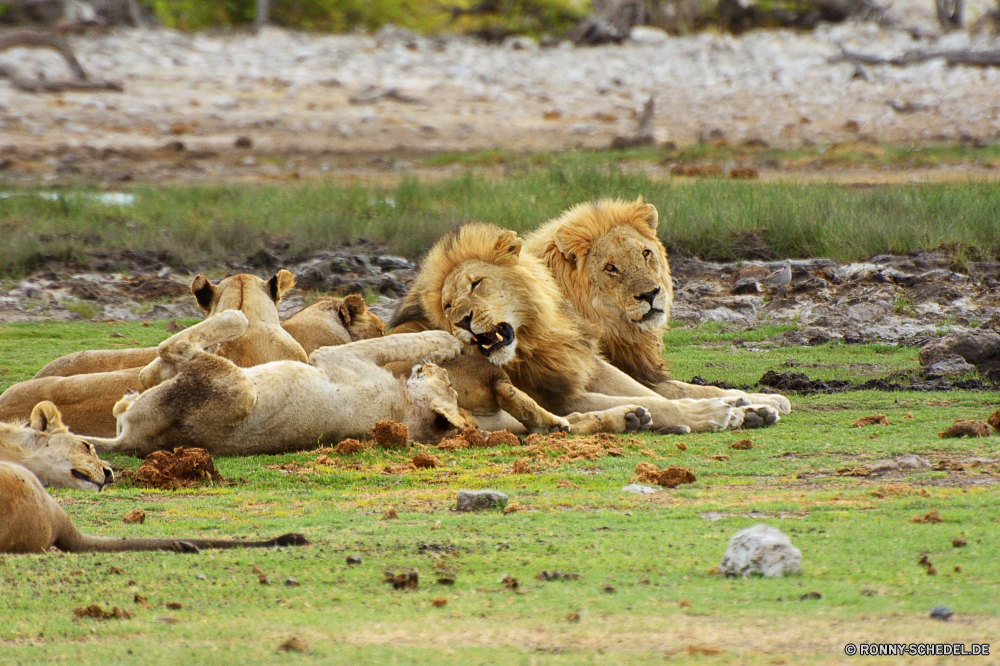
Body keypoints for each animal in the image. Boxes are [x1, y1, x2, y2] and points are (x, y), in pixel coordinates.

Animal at [88, 310, 470, 456]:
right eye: (452, 385)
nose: (440, 371)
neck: (408, 413)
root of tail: (134, 441)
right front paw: (451, 345)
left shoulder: (334, 356)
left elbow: (401, 341)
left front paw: (448, 341)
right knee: (151, 373)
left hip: (236, 386)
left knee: (173, 350)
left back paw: (233, 317)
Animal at [390, 220, 780, 434]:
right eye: (447, 306)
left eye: (476, 283)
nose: (461, 321)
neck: (535, 336)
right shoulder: (560, 395)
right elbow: (662, 402)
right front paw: (720, 411)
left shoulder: (584, 366)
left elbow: (666, 392)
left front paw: (753, 404)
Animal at [524, 195, 788, 418]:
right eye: (610, 268)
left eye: (645, 253)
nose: (650, 294)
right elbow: (678, 391)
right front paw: (759, 402)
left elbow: (691, 388)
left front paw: (758, 398)